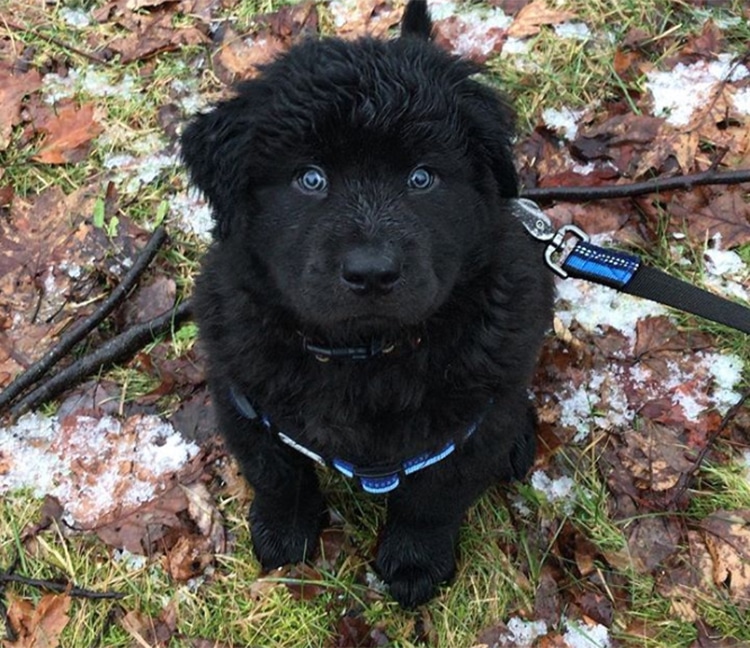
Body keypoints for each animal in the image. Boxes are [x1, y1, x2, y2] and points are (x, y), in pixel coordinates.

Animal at [184, 0, 552, 608]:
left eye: (422, 177)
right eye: (310, 179)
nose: (372, 272)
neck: (366, 355)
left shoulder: (464, 433)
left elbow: (432, 499)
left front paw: (413, 563)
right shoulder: (243, 398)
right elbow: (276, 472)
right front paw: (283, 532)